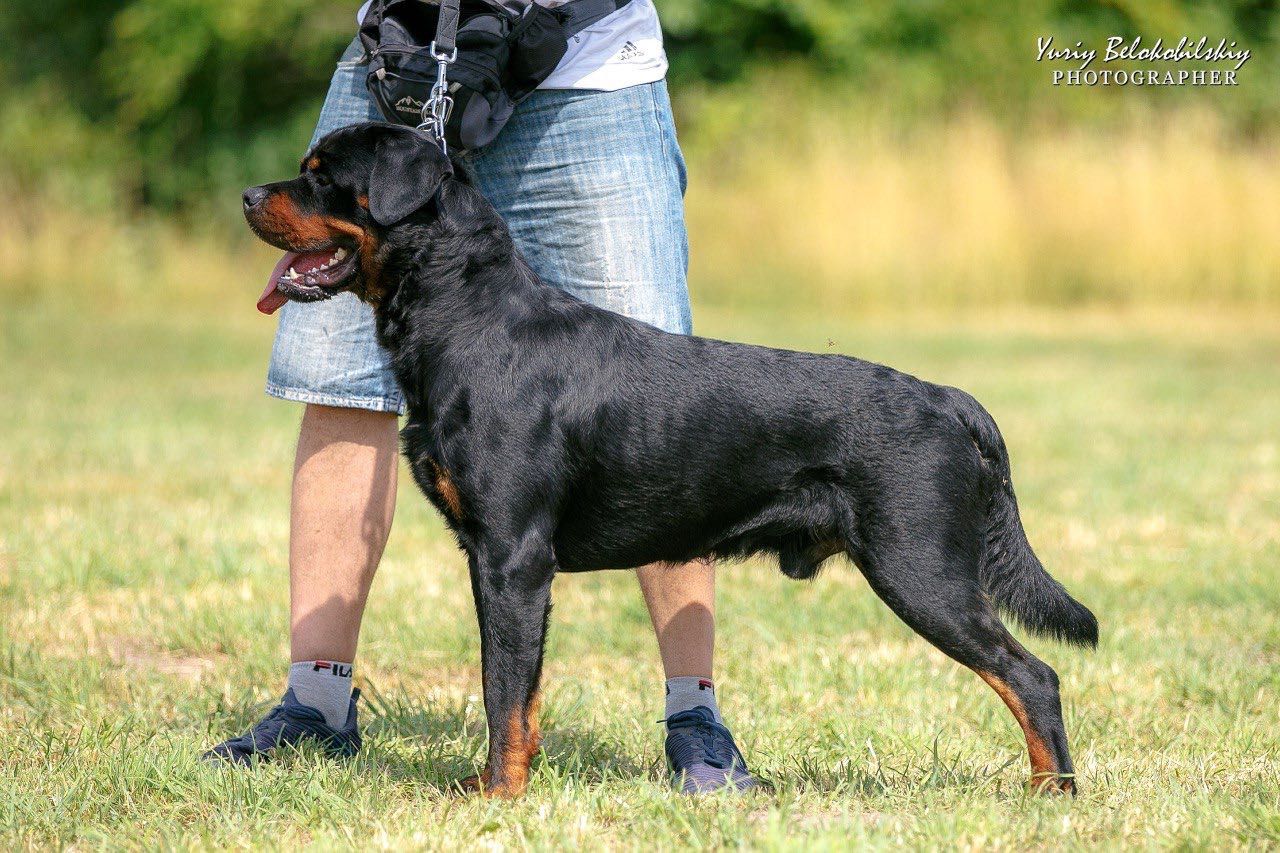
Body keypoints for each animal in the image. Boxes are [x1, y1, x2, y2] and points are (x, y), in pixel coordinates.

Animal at [247, 121, 1100, 799]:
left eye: (323, 173)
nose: (251, 195)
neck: (468, 318)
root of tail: (950, 399)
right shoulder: (500, 560)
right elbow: (522, 692)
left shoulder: (512, 558)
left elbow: (502, 689)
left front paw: (497, 792)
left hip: (921, 569)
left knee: (1033, 674)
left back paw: (1051, 791)